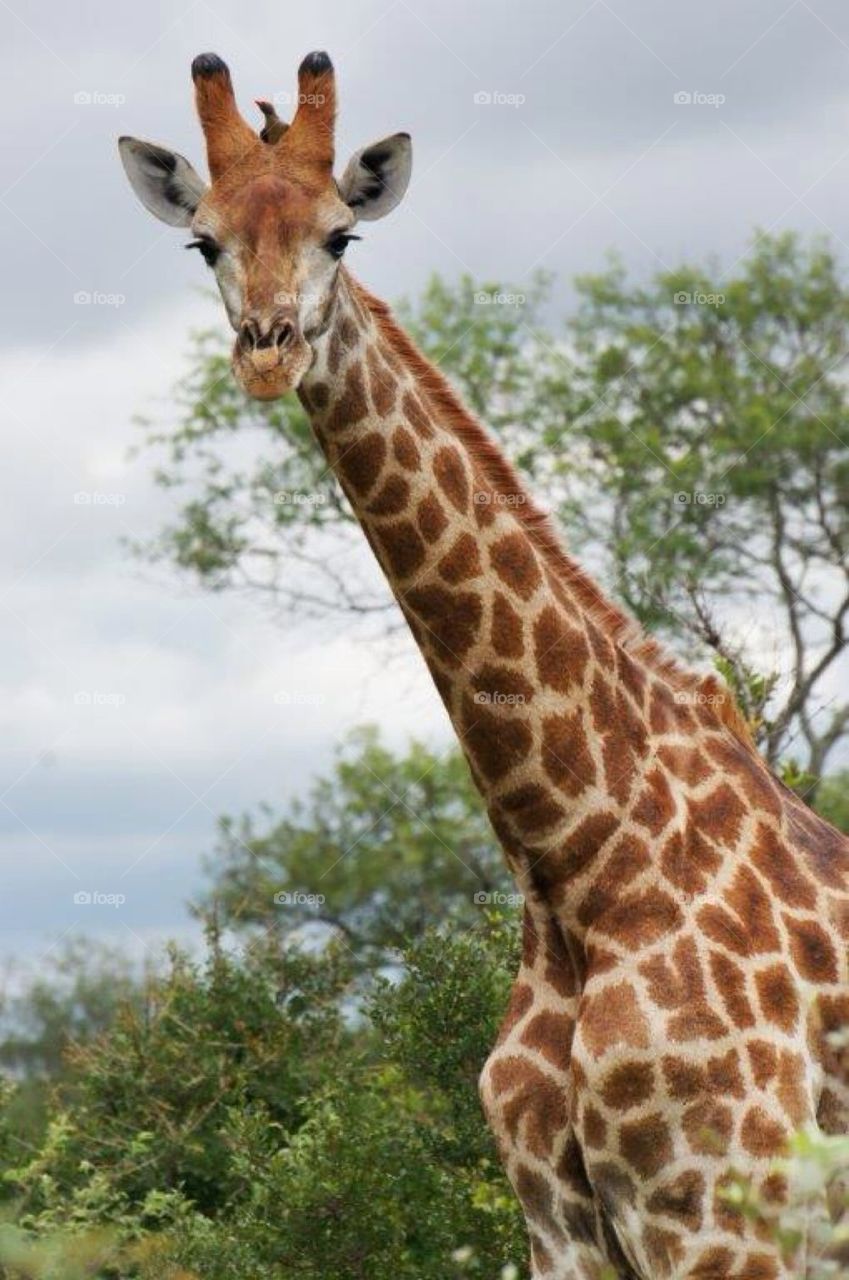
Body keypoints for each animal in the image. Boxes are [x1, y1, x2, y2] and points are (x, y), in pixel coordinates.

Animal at [117, 49, 849, 1280]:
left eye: (340, 234)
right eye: (203, 243)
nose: (269, 350)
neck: (577, 862)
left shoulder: (722, 1218)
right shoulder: (561, 1228)